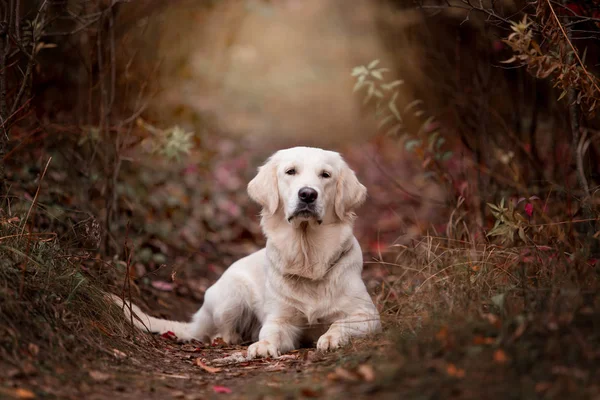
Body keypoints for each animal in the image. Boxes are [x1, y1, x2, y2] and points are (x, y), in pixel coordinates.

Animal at [113, 145, 380, 358]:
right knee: (218, 331)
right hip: (231, 293)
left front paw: (331, 338)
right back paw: (229, 338)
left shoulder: (367, 315)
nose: (307, 194)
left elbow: (340, 324)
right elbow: (271, 331)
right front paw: (263, 345)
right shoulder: (280, 319)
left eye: (326, 175)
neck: (308, 257)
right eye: (290, 171)